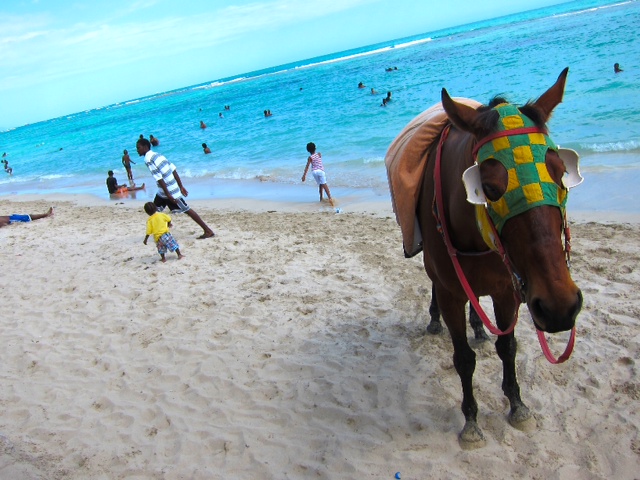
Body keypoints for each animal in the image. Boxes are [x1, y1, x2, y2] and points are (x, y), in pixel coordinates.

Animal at [405, 68, 582, 447]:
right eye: (487, 189)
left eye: (562, 174)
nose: (560, 307)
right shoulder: (452, 293)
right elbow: (463, 358)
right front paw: (471, 419)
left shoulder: (507, 290)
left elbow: (508, 346)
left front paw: (517, 404)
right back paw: (435, 320)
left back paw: (478, 326)